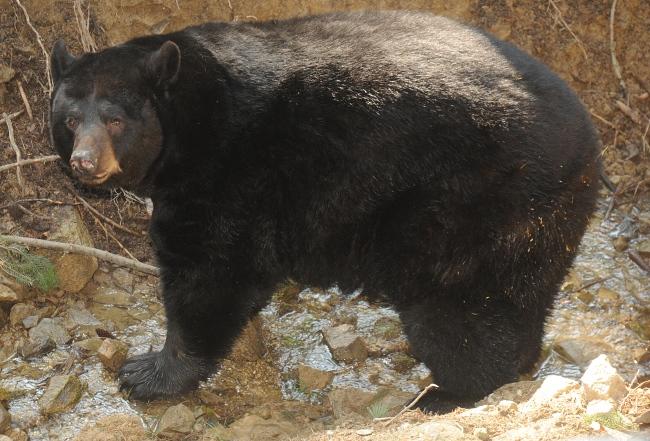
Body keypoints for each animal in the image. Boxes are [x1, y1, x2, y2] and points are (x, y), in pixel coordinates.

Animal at [50, 10, 596, 410]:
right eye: (71, 119)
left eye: (116, 120)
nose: (84, 163)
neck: (193, 113)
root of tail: (588, 139)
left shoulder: (229, 173)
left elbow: (210, 271)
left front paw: (147, 372)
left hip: (478, 203)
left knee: (461, 307)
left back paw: (446, 393)